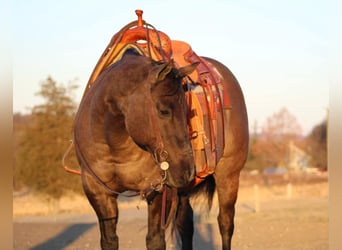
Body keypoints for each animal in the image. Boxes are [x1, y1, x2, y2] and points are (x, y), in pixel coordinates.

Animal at [73, 45, 248, 250]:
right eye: (164, 111)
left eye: (187, 110)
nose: (187, 170)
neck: (114, 144)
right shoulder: (97, 191)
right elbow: (109, 240)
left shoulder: (158, 190)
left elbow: (155, 240)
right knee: (185, 224)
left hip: (228, 176)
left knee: (225, 222)